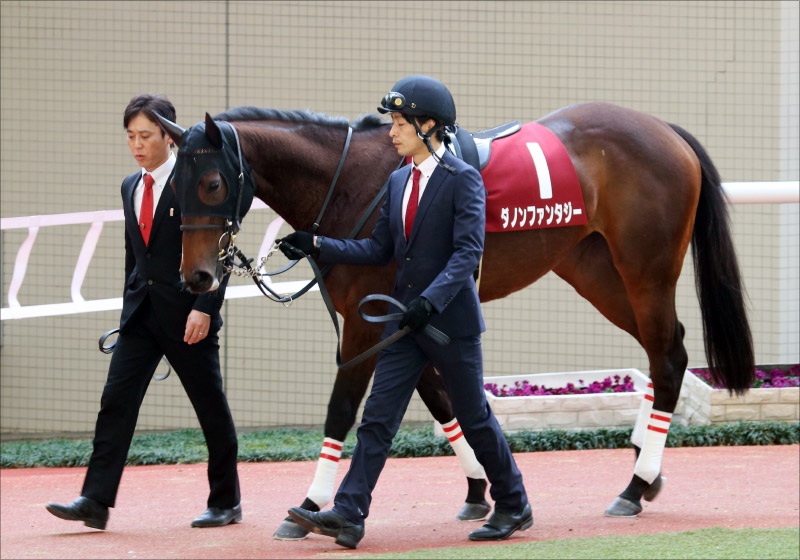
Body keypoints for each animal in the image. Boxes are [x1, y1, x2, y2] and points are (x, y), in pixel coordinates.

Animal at [158, 101, 754, 538]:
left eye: (212, 183)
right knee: (663, 350)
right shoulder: (404, 315)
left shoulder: (368, 321)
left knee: (669, 355)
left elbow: (344, 409)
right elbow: (441, 397)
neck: (352, 180)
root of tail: (666, 130)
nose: (197, 278)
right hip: (595, 271)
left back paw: (635, 484)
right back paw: (643, 473)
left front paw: (311, 504)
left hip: (645, 271)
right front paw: (480, 490)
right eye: (171, 189)